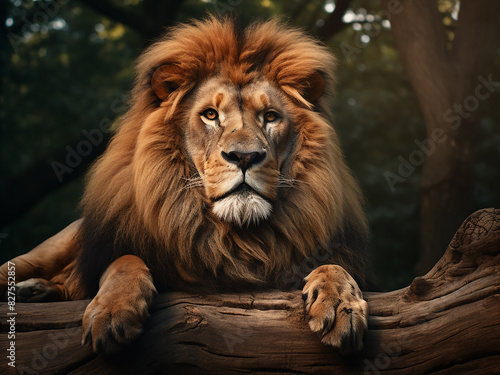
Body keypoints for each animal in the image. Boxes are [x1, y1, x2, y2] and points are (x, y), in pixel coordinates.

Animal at [0, 16, 370, 356]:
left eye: (270, 117)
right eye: (210, 115)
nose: (244, 156)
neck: (234, 236)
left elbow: (335, 268)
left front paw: (341, 306)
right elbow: (124, 261)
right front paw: (112, 312)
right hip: (49, 248)